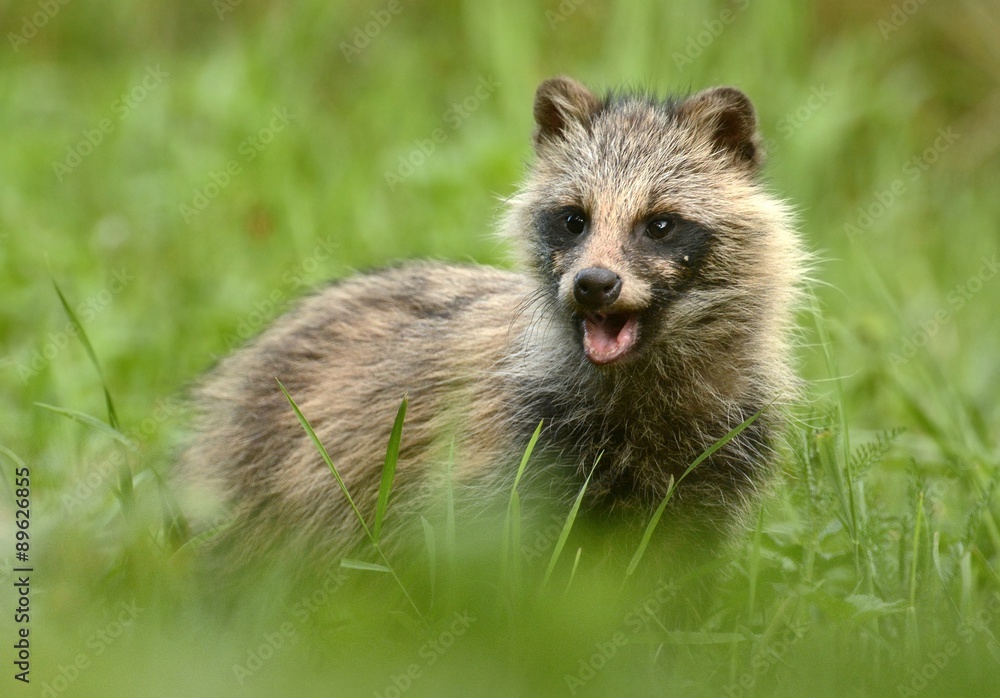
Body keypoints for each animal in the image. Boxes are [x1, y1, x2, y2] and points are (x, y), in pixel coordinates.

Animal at [177, 76, 804, 566]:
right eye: (573, 219)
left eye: (660, 224)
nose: (594, 284)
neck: (642, 385)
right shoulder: (511, 457)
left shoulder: (719, 461)